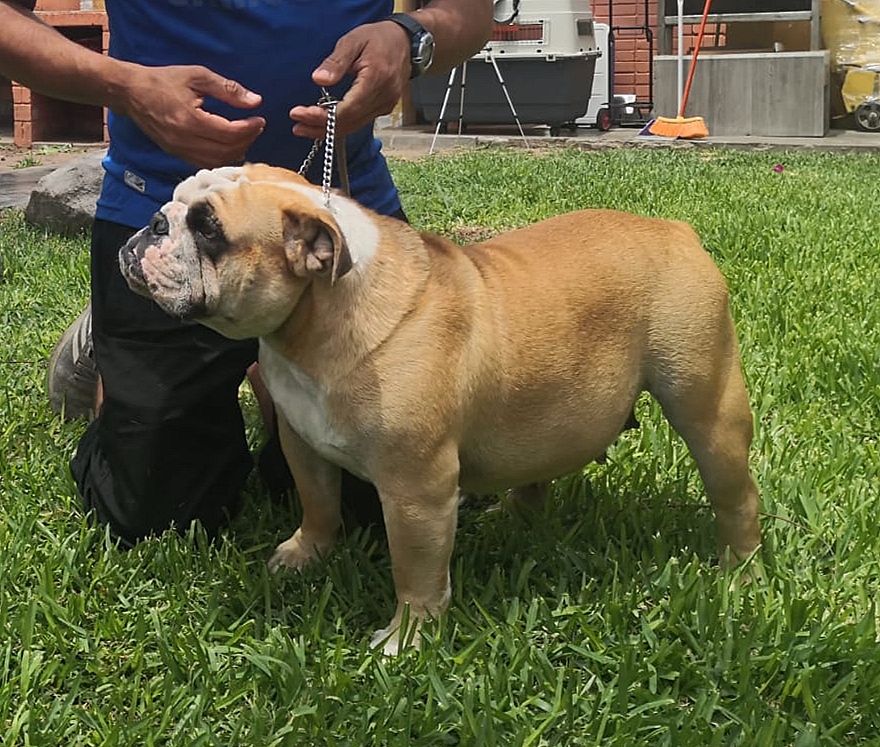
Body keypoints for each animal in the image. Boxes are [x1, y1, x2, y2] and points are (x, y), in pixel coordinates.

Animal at [119, 163, 761, 653]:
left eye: (208, 230)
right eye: (173, 202)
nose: (153, 222)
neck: (313, 325)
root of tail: (674, 230)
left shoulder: (415, 491)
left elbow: (417, 570)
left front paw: (407, 639)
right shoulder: (303, 442)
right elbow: (318, 502)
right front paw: (305, 555)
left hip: (707, 406)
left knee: (735, 495)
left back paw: (738, 572)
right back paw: (514, 515)